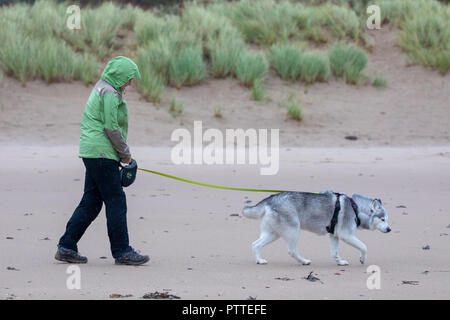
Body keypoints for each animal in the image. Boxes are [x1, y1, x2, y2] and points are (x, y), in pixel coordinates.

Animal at [243, 191, 390, 266]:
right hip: (293, 231)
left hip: (273, 234)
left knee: (255, 244)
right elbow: (364, 247)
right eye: (383, 219)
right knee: (292, 251)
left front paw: (340, 262)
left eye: (387, 219)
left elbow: (334, 253)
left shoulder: (334, 236)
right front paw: (362, 259)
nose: (389, 229)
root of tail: (270, 199)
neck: (356, 207)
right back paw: (304, 261)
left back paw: (259, 260)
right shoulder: (347, 235)